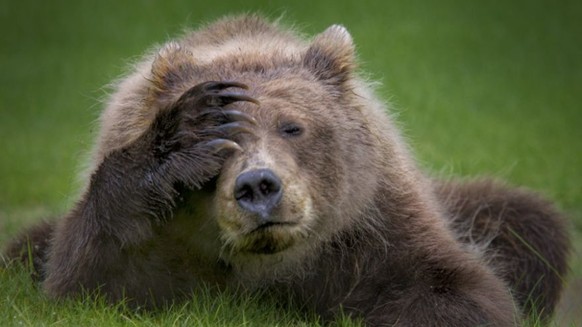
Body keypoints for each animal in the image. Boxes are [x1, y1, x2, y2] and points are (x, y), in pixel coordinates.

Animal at [2, 14, 572, 326]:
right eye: (224, 145)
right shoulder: (161, 246)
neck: (267, 264)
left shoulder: (372, 226)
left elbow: (451, 289)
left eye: (292, 127)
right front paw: (184, 134)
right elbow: (90, 279)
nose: (258, 186)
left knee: (529, 222)